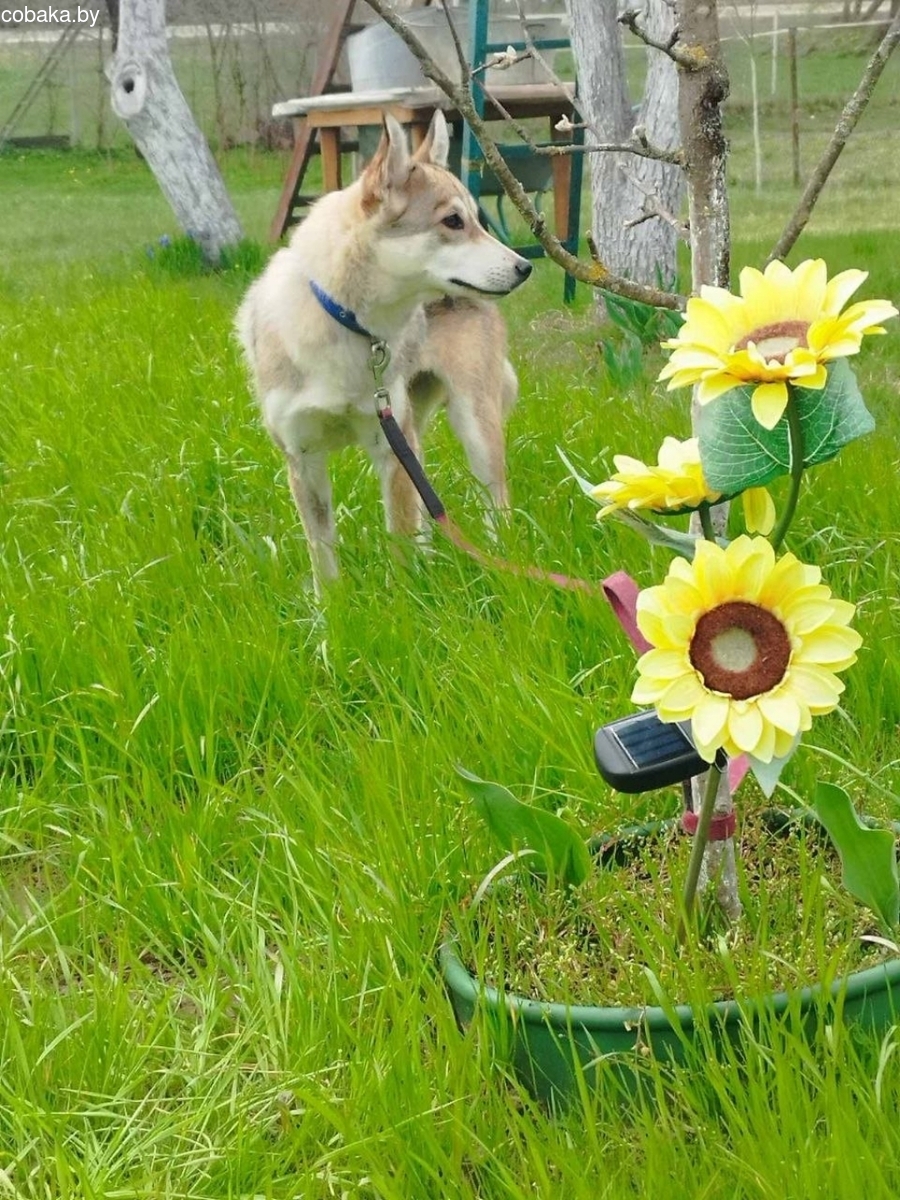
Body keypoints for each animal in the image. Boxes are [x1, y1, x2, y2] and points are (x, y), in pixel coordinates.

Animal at [235, 110, 532, 591]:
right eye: (453, 222)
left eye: (476, 219)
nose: (525, 266)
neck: (345, 323)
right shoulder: (304, 460)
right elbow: (324, 558)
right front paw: (331, 610)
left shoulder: (389, 449)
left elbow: (401, 547)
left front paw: (407, 601)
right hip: (414, 426)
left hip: (471, 423)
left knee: (496, 504)